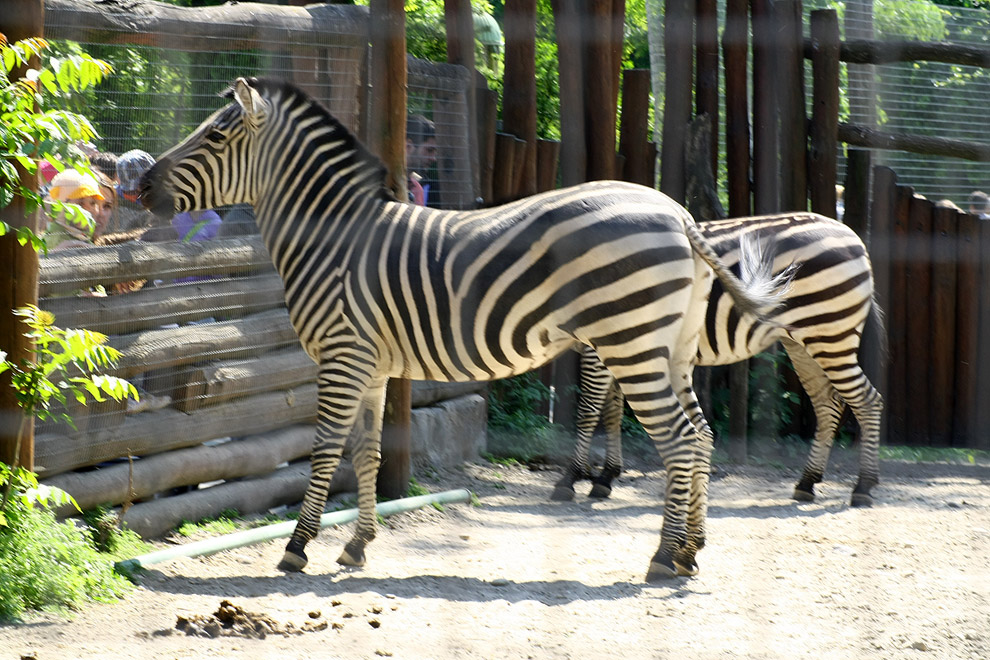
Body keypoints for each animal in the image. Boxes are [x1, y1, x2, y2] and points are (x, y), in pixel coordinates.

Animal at [141, 77, 792, 580]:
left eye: (215, 136)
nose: (141, 184)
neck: (330, 239)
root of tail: (678, 214)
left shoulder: (342, 355)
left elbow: (325, 450)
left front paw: (298, 548)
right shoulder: (370, 365)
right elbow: (369, 453)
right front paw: (357, 545)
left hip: (632, 345)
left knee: (679, 441)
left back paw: (661, 556)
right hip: (671, 348)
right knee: (701, 436)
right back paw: (690, 552)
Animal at [556, 211, 888, 506]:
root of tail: (850, 235)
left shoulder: (607, 342)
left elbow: (588, 409)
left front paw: (571, 478)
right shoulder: (619, 345)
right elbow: (611, 412)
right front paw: (605, 477)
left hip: (831, 335)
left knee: (867, 400)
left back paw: (863, 487)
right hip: (803, 343)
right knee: (827, 404)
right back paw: (808, 482)